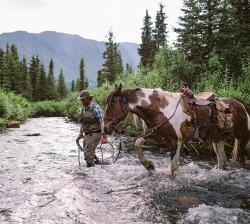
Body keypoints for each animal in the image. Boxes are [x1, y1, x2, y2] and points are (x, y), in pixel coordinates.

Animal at [101, 84, 250, 175]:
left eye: (113, 103)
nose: (104, 127)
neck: (160, 110)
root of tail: (241, 105)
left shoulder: (176, 143)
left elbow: (173, 169)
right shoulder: (157, 137)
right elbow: (138, 143)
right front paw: (149, 165)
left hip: (244, 137)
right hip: (218, 139)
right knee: (222, 162)